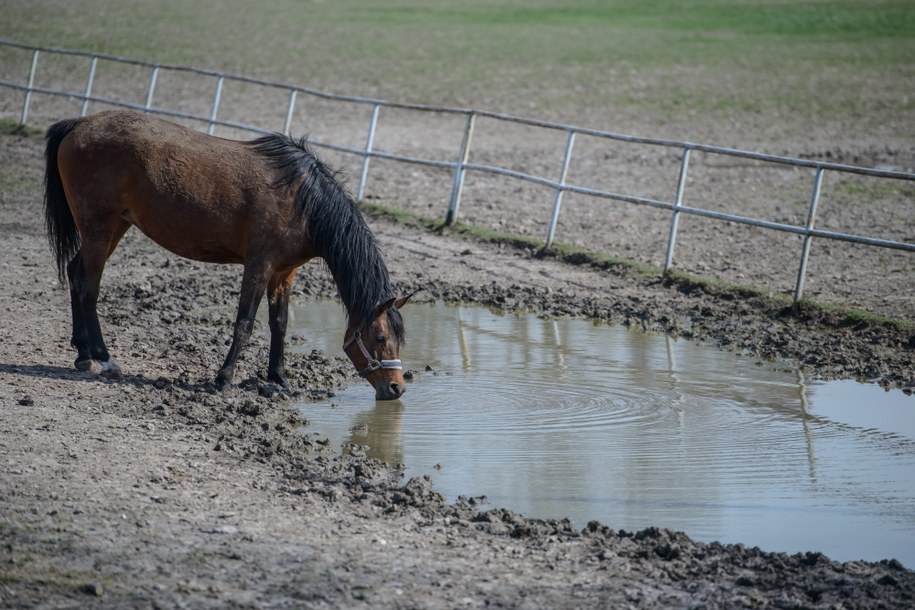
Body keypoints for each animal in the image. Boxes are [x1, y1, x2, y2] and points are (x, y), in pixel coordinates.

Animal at [43, 109, 408, 400]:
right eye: (379, 337)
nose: (396, 388)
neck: (303, 202)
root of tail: (79, 124)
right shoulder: (259, 265)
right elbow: (244, 323)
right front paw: (224, 378)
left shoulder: (284, 274)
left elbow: (280, 324)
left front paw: (279, 379)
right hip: (99, 227)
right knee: (89, 287)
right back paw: (105, 359)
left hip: (114, 226)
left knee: (76, 275)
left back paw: (83, 353)